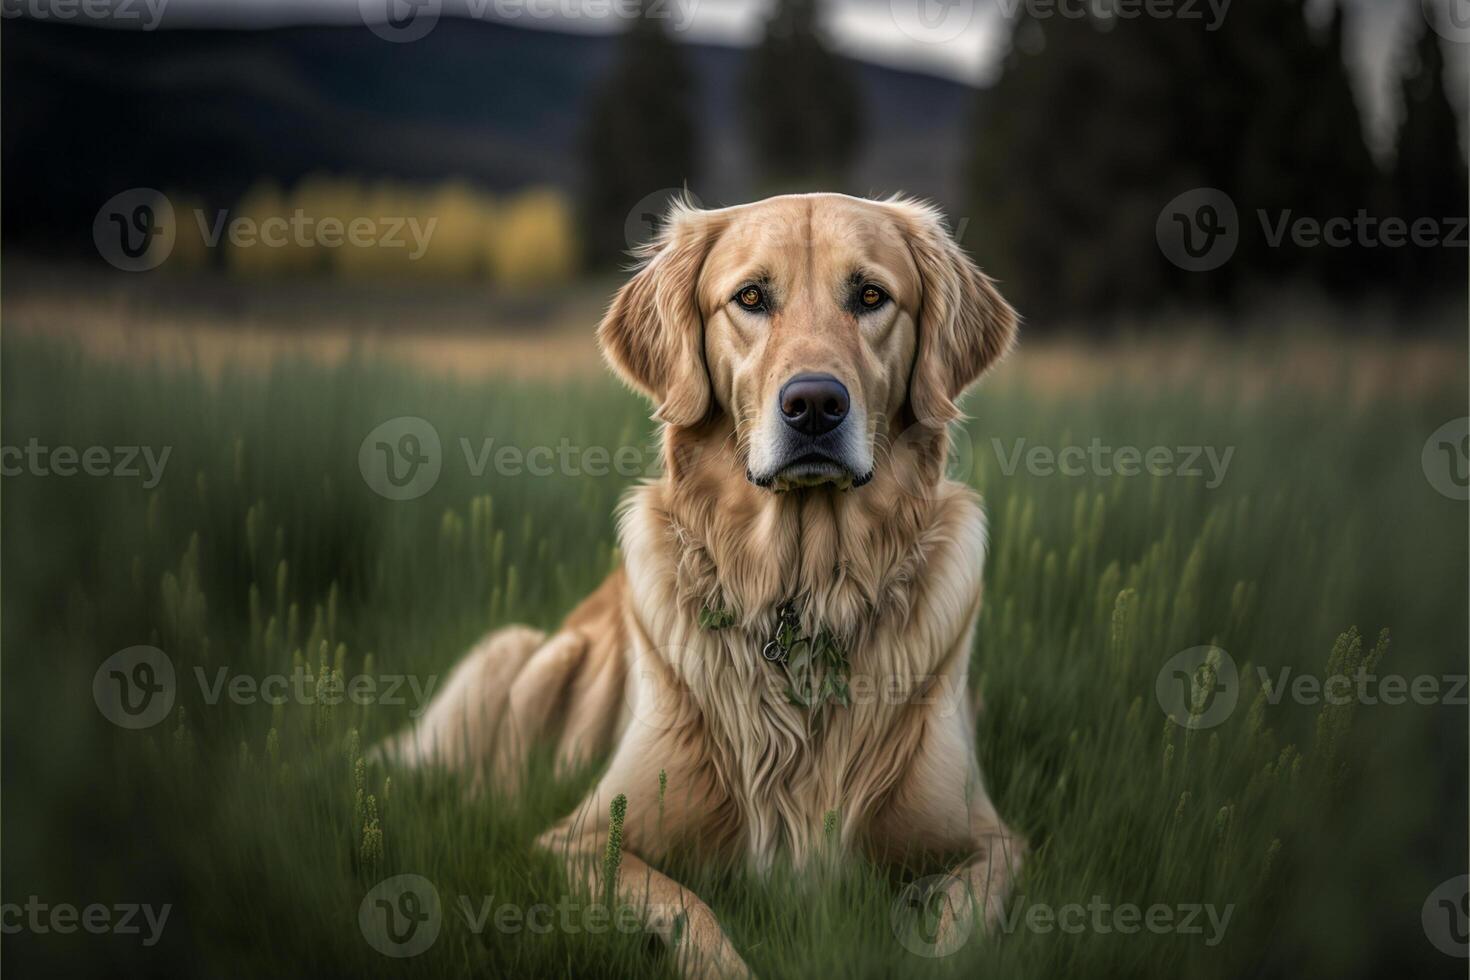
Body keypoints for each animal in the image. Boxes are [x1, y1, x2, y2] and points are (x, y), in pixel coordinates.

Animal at [379, 195, 1023, 975]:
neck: (800, 595)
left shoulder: (990, 840)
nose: (814, 404)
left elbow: (958, 924)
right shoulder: (579, 841)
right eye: (750, 298)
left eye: (872, 296)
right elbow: (692, 913)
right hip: (522, 655)